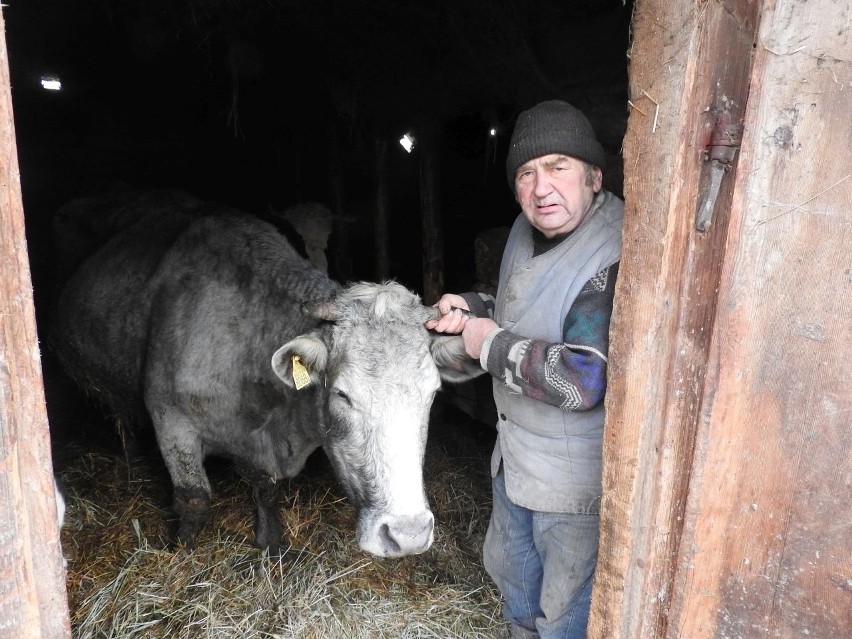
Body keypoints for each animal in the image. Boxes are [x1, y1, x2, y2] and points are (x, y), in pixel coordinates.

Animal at [50, 196, 482, 560]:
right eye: (342, 395)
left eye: (432, 394)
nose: (408, 534)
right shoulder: (171, 420)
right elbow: (193, 498)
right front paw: (181, 553)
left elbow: (267, 489)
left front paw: (271, 545)